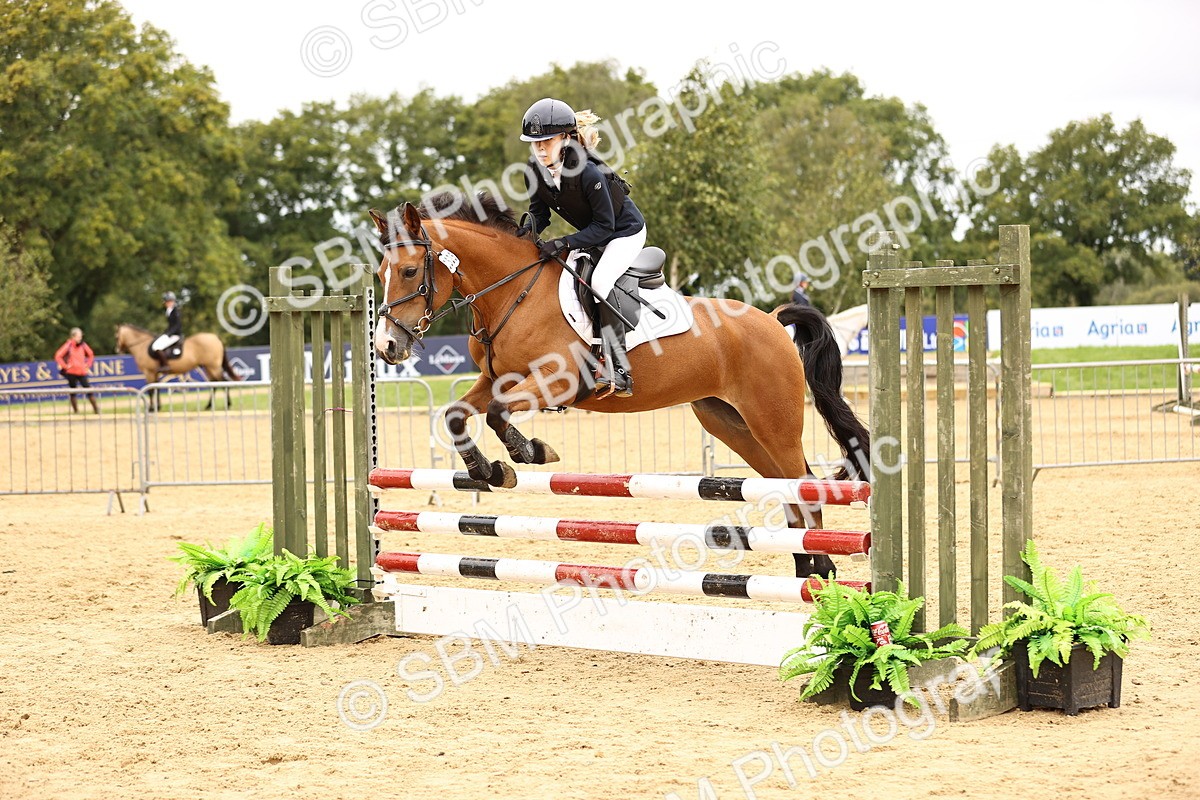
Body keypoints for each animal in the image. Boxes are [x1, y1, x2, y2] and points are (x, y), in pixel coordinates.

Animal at [369, 192, 871, 579]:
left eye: (410, 272)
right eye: (379, 276)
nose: (387, 347)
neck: (512, 293)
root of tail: (771, 319)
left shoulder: (558, 382)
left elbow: (496, 415)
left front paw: (529, 453)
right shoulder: (495, 379)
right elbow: (455, 415)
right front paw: (489, 471)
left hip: (772, 420)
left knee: (804, 481)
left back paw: (820, 569)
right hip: (730, 421)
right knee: (783, 484)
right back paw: (806, 566)